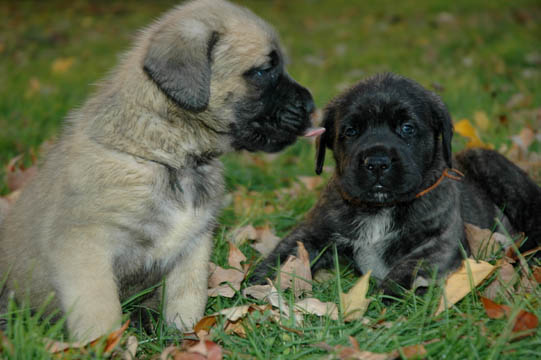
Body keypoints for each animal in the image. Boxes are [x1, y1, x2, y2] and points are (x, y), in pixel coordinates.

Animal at [253, 73, 540, 296]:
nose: (377, 162)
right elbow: (284, 253)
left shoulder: (442, 243)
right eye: (351, 131)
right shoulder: (313, 232)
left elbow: (407, 268)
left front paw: (383, 300)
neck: (380, 210)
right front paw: (257, 283)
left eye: (407, 128)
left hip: (491, 164)